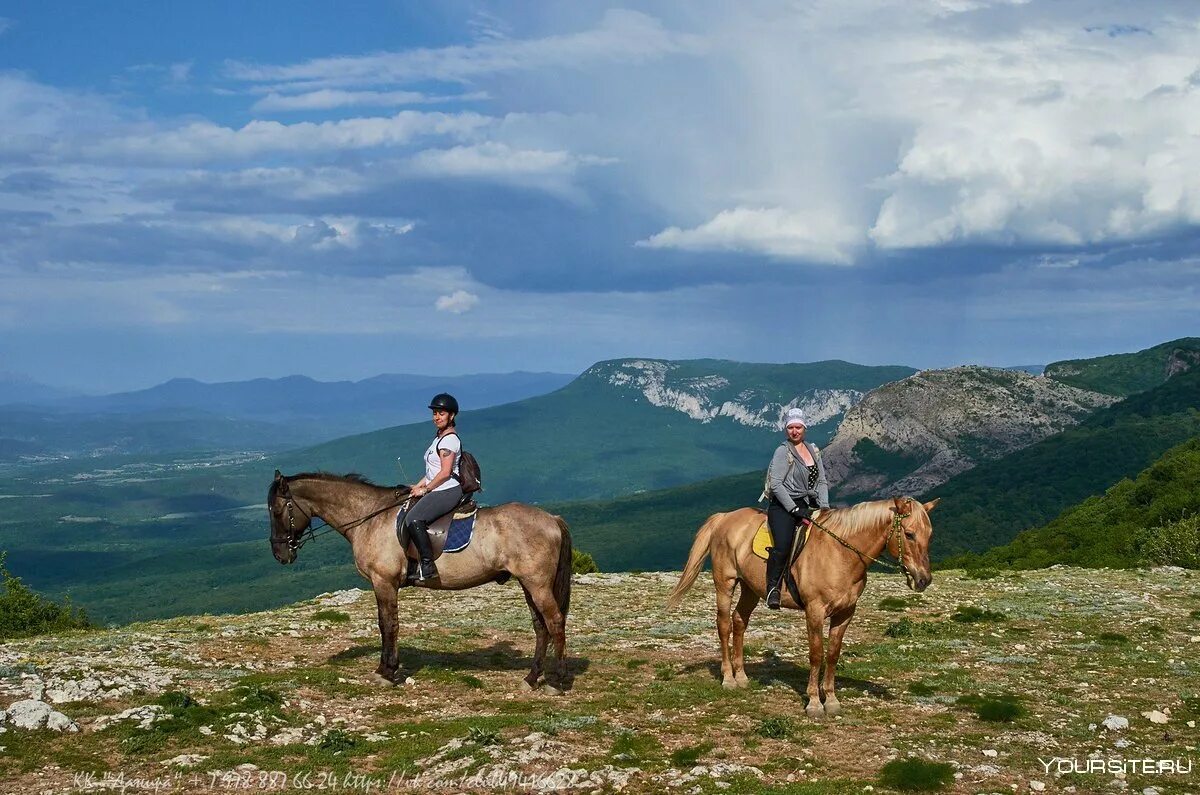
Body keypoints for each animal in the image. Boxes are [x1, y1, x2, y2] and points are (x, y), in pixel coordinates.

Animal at [270, 473, 573, 691]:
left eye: (276, 510)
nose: (280, 554)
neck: (371, 517)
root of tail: (552, 518)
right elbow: (385, 624)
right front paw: (387, 668)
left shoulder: (384, 582)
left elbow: (388, 625)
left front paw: (387, 672)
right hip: (528, 584)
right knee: (541, 627)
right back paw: (531, 678)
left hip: (537, 584)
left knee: (555, 623)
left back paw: (556, 682)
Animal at [667, 499, 936, 715]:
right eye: (909, 534)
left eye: (929, 535)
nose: (923, 580)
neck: (840, 554)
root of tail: (724, 517)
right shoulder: (814, 611)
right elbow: (816, 654)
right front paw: (815, 703)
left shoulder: (845, 613)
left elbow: (833, 654)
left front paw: (832, 700)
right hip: (725, 583)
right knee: (724, 625)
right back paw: (728, 679)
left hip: (750, 588)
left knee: (739, 622)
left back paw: (741, 676)